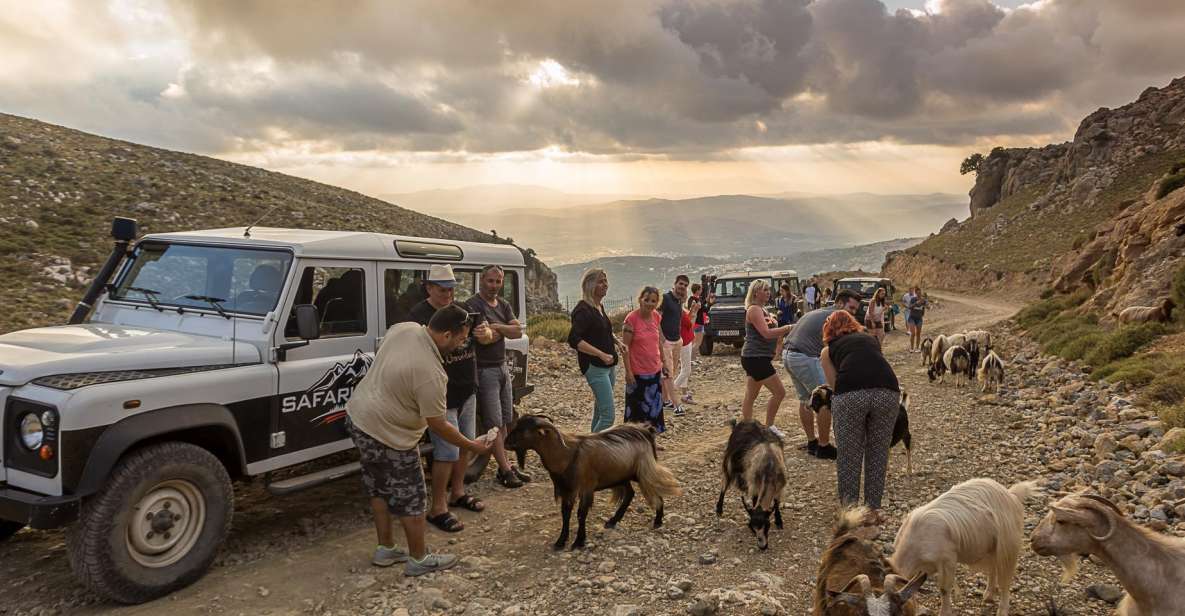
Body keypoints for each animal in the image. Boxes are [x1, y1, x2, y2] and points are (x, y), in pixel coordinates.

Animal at [710, 419, 786, 549]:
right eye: (751, 527)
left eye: (767, 525)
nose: (762, 546)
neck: (769, 466)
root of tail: (743, 422)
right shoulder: (754, 485)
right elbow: (755, 501)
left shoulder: (780, 486)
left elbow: (776, 502)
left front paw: (779, 521)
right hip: (729, 462)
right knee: (724, 484)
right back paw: (719, 510)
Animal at [891, 478, 1038, 611]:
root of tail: (1011, 494)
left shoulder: (948, 560)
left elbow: (944, 589)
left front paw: (945, 612)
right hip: (991, 547)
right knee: (993, 567)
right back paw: (989, 595)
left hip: (1007, 546)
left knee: (1005, 581)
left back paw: (1002, 610)